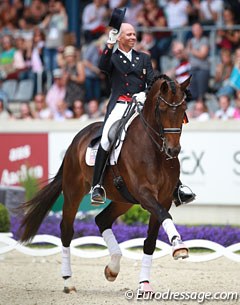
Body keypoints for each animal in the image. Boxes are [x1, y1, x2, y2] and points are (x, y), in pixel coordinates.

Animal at [19, 73, 190, 292]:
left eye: (183, 109)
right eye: (162, 109)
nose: (173, 150)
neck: (154, 150)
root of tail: (78, 138)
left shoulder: (165, 198)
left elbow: (151, 240)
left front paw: (144, 284)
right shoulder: (145, 195)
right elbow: (164, 216)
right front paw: (179, 245)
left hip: (123, 200)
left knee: (102, 220)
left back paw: (112, 268)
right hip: (74, 192)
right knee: (66, 230)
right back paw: (68, 281)